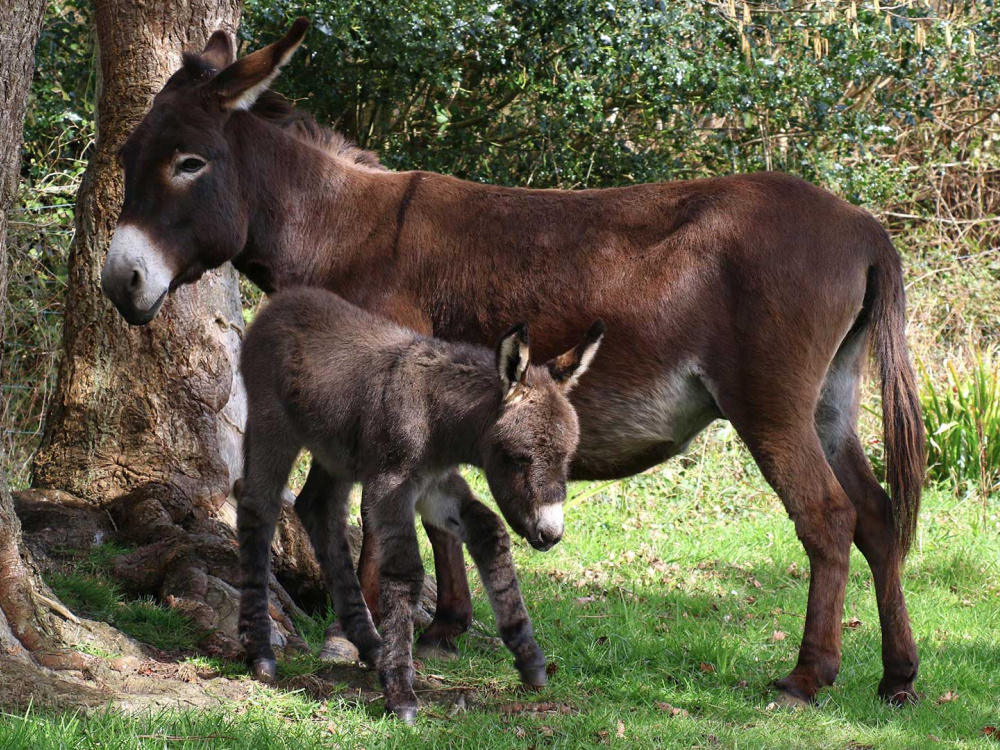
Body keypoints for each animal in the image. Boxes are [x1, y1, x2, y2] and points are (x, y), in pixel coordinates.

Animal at [240, 288, 600, 724]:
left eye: (567, 458)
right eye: (519, 457)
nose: (550, 534)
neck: (436, 415)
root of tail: (281, 302)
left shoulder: (435, 485)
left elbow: (489, 530)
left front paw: (528, 656)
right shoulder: (391, 487)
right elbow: (406, 571)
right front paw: (401, 693)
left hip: (335, 451)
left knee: (318, 510)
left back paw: (370, 644)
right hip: (272, 424)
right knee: (257, 510)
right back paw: (261, 653)